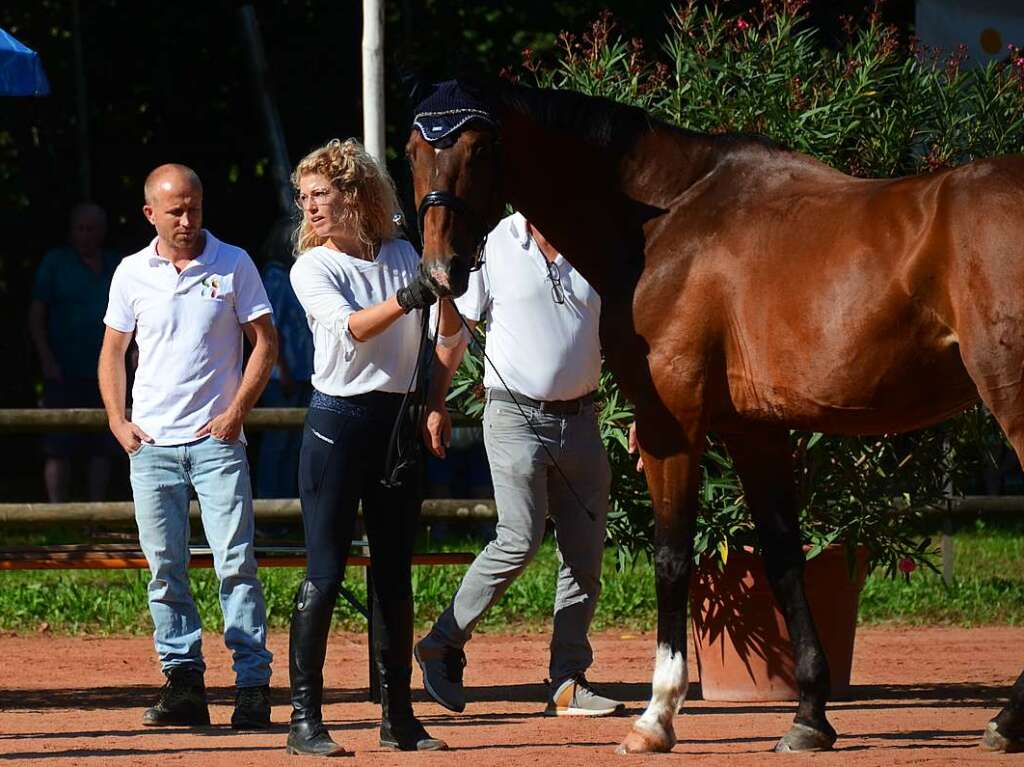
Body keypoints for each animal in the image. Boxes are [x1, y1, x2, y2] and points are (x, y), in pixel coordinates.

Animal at [403, 79, 1019, 753]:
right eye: (412, 150)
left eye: (481, 148)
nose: (440, 272)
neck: (665, 217)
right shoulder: (754, 430)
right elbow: (783, 559)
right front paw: (809, 717)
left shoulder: (669, 422)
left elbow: (673, 558)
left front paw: (656, 717)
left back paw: (1004, 720)